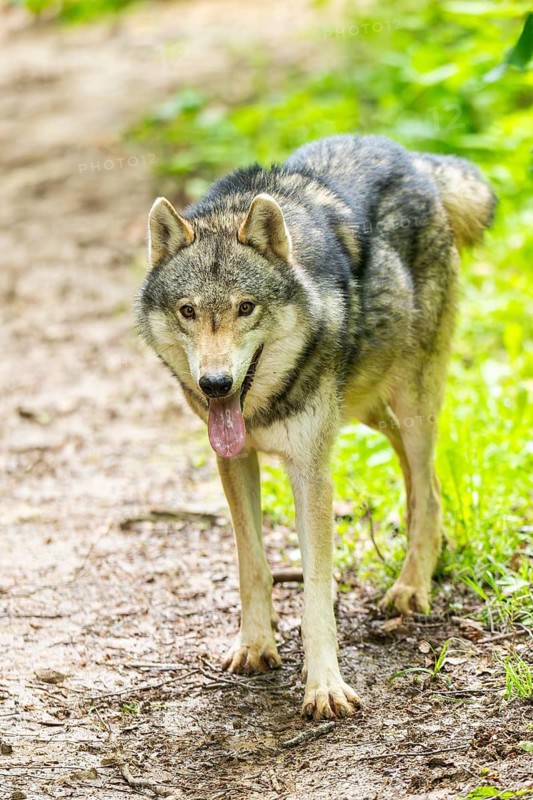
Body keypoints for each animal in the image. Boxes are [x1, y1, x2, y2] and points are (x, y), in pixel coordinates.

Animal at [136, 134, 495, 720]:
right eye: (188, 311)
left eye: (246, 307)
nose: (215, 384)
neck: (262, 406)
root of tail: (413, 157)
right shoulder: (235, 459)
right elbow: (253, 564)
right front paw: (256, 644)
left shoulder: (311, 470)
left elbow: (315, 590)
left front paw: (324, 685)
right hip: (366, 407)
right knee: (425, 483)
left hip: (411, 400)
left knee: (428, 484)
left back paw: (410, 587)